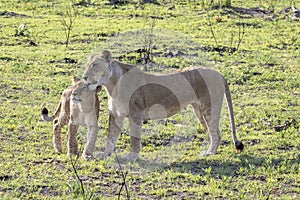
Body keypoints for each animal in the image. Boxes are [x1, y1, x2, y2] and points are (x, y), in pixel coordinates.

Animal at [82, 50, 244, 161]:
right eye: (87, 66)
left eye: (95, 65)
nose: (84, 77)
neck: (112, 85)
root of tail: (218, 72)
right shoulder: (115, 114)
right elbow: (111, 136)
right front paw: (105, 153)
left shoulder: (136, 113)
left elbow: (134, 137)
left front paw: (132, 156)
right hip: (199, 111)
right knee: (212, 132)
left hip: (209, 108)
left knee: (216, 133)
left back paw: (210, 153)